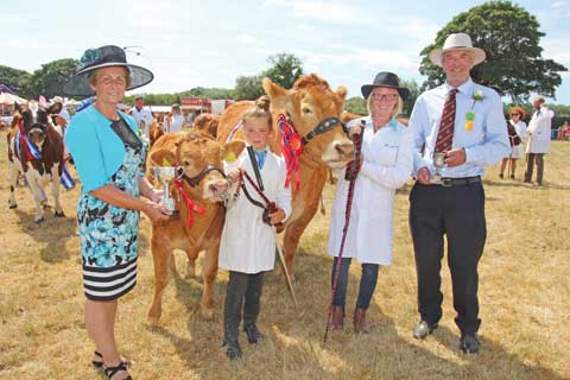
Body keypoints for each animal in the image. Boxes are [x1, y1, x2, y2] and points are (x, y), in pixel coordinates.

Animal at [145, 131, 243, 324]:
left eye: (221, 157)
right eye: (186, 163)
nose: (219, 186)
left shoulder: (216, 241)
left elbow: (210, 273)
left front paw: (207, 307)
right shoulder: (158, 241)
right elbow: (161, 277)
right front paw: (153, 315)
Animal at [216, 74, 352, 276]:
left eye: (340, 110)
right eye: (307, 109)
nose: (346, 147)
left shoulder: (307, 211)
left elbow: (291, 244)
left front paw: (287, 274)